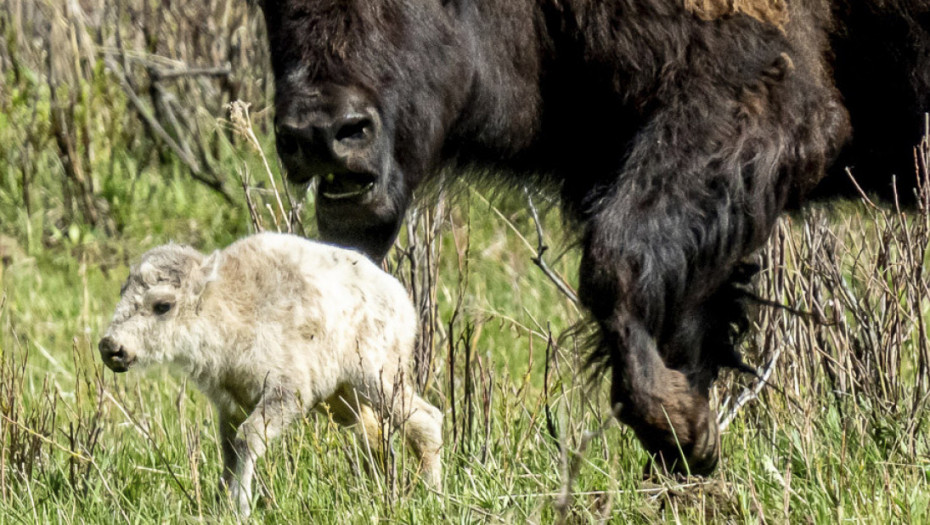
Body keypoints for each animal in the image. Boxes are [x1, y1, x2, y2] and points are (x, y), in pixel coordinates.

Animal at [98, 231, 442, 512]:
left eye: (163, 305)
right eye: (122, 292)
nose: (111, 347)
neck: (228, 304)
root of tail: (401, 298)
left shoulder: (285, 392)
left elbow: (247, 439)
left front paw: (240, 506)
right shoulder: (230, 404)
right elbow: (229, 451)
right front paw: (222, 503)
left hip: (377, 377)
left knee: (425, 419)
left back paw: (429, 492)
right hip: (342, 398)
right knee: (375, 435)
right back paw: (380, 490)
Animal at [258, 0, 928, 472]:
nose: (322, 132)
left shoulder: (755, 100)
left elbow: (615, 263)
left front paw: (679, 427)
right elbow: (681, 319)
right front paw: (690, 445)